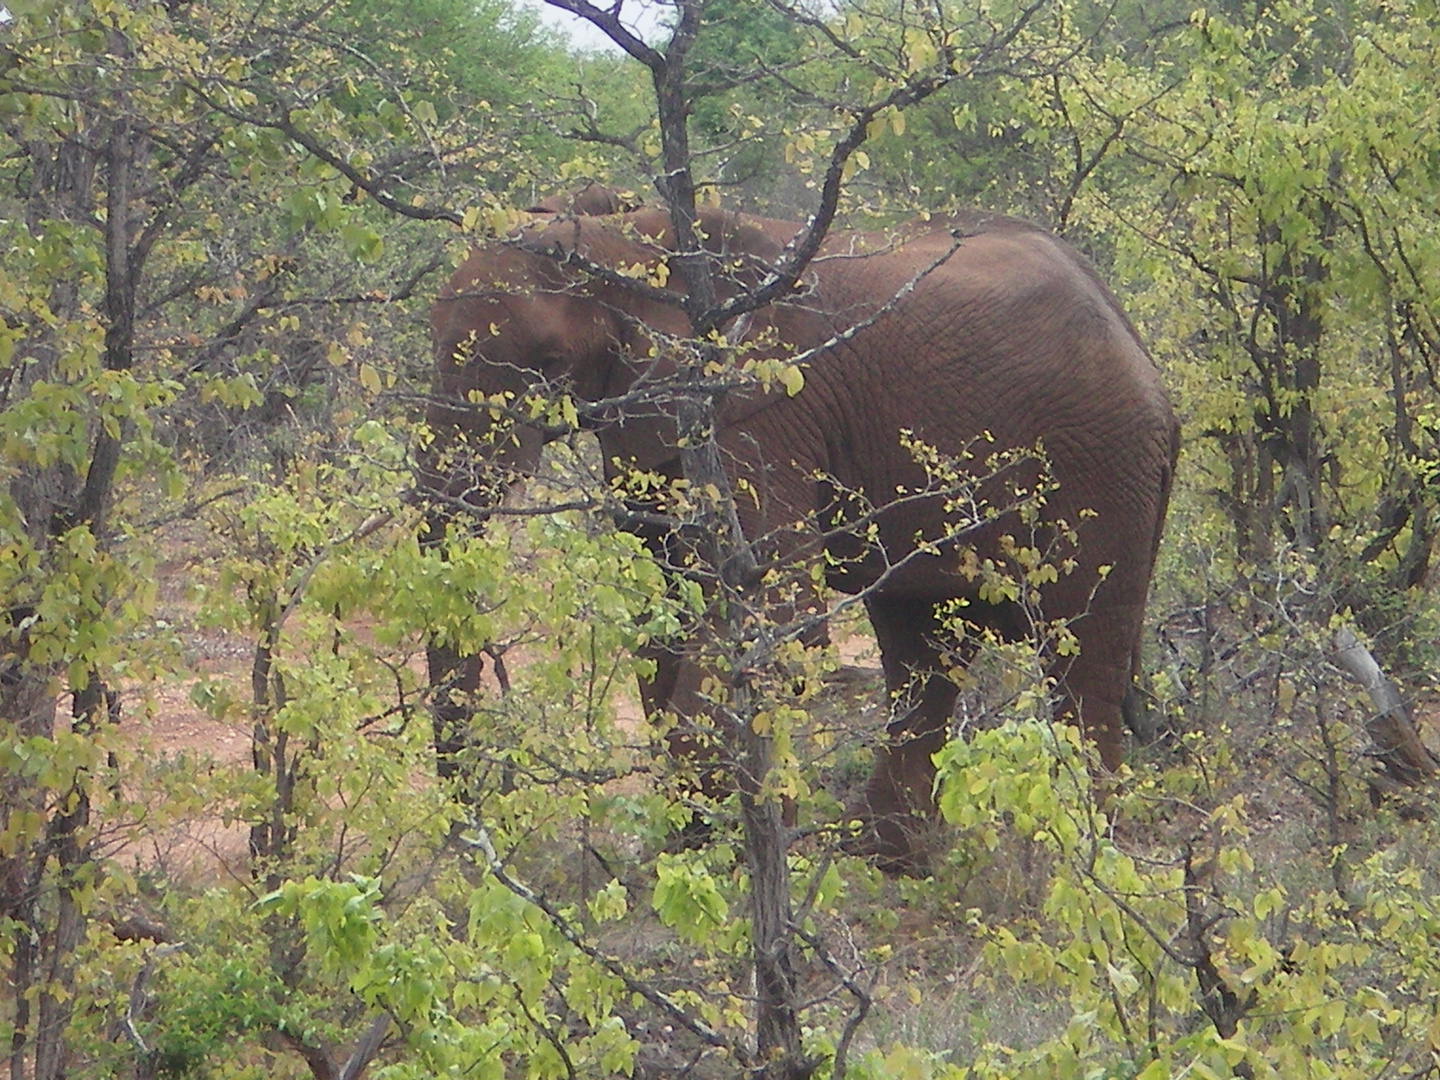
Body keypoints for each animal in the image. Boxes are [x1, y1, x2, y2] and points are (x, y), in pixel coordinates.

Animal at [420, 197, 1180, 869]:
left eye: (548, 364)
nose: (475, 842)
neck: (622, 233)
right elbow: (665, 615)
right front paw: (689, 852)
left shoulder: (759, 408)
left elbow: (771, 616)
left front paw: (724, 860)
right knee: (922, 650)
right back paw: (882, 862)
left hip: (1101, 460)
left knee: (1081, 659)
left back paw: (1087, 862)